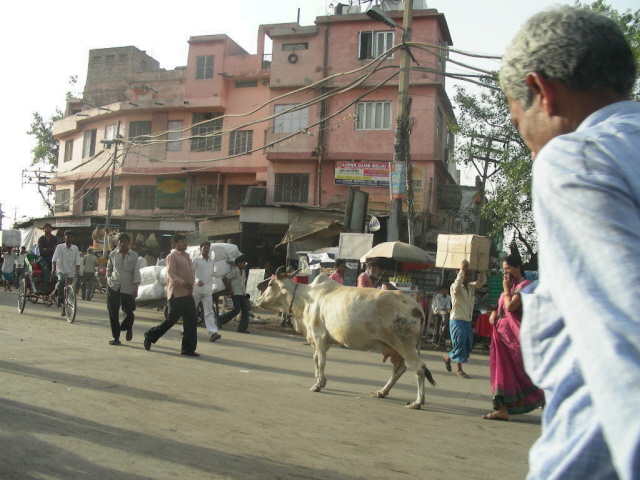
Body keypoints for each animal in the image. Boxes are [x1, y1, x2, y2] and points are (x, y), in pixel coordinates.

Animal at [255, 266, 436, 408]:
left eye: (270, 284)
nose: (257, 301)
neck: (306, 299)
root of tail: (417, 306)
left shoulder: (319, 337)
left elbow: (321, 361)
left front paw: (318, 385)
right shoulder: (324, 340)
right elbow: (316, 359)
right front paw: (322, 380)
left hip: (404, 344)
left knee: (418, 367)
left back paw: (417, 402)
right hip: (394, 347)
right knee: (399, 368)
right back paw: (382, 392)